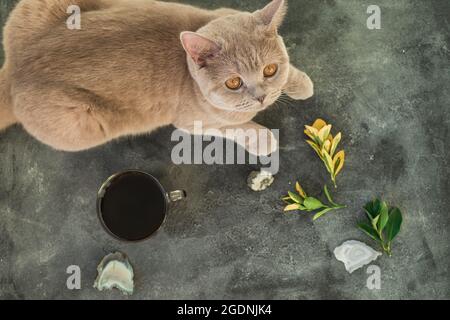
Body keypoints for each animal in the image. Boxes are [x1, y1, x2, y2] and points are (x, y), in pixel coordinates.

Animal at [0, 0, 312, 155]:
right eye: (233, 83)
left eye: (270, 70)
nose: (261, 97)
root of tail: (15, 67)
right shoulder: (191, 123)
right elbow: (232, 127)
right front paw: (262, 139)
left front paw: (300, 83)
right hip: (78, 122)